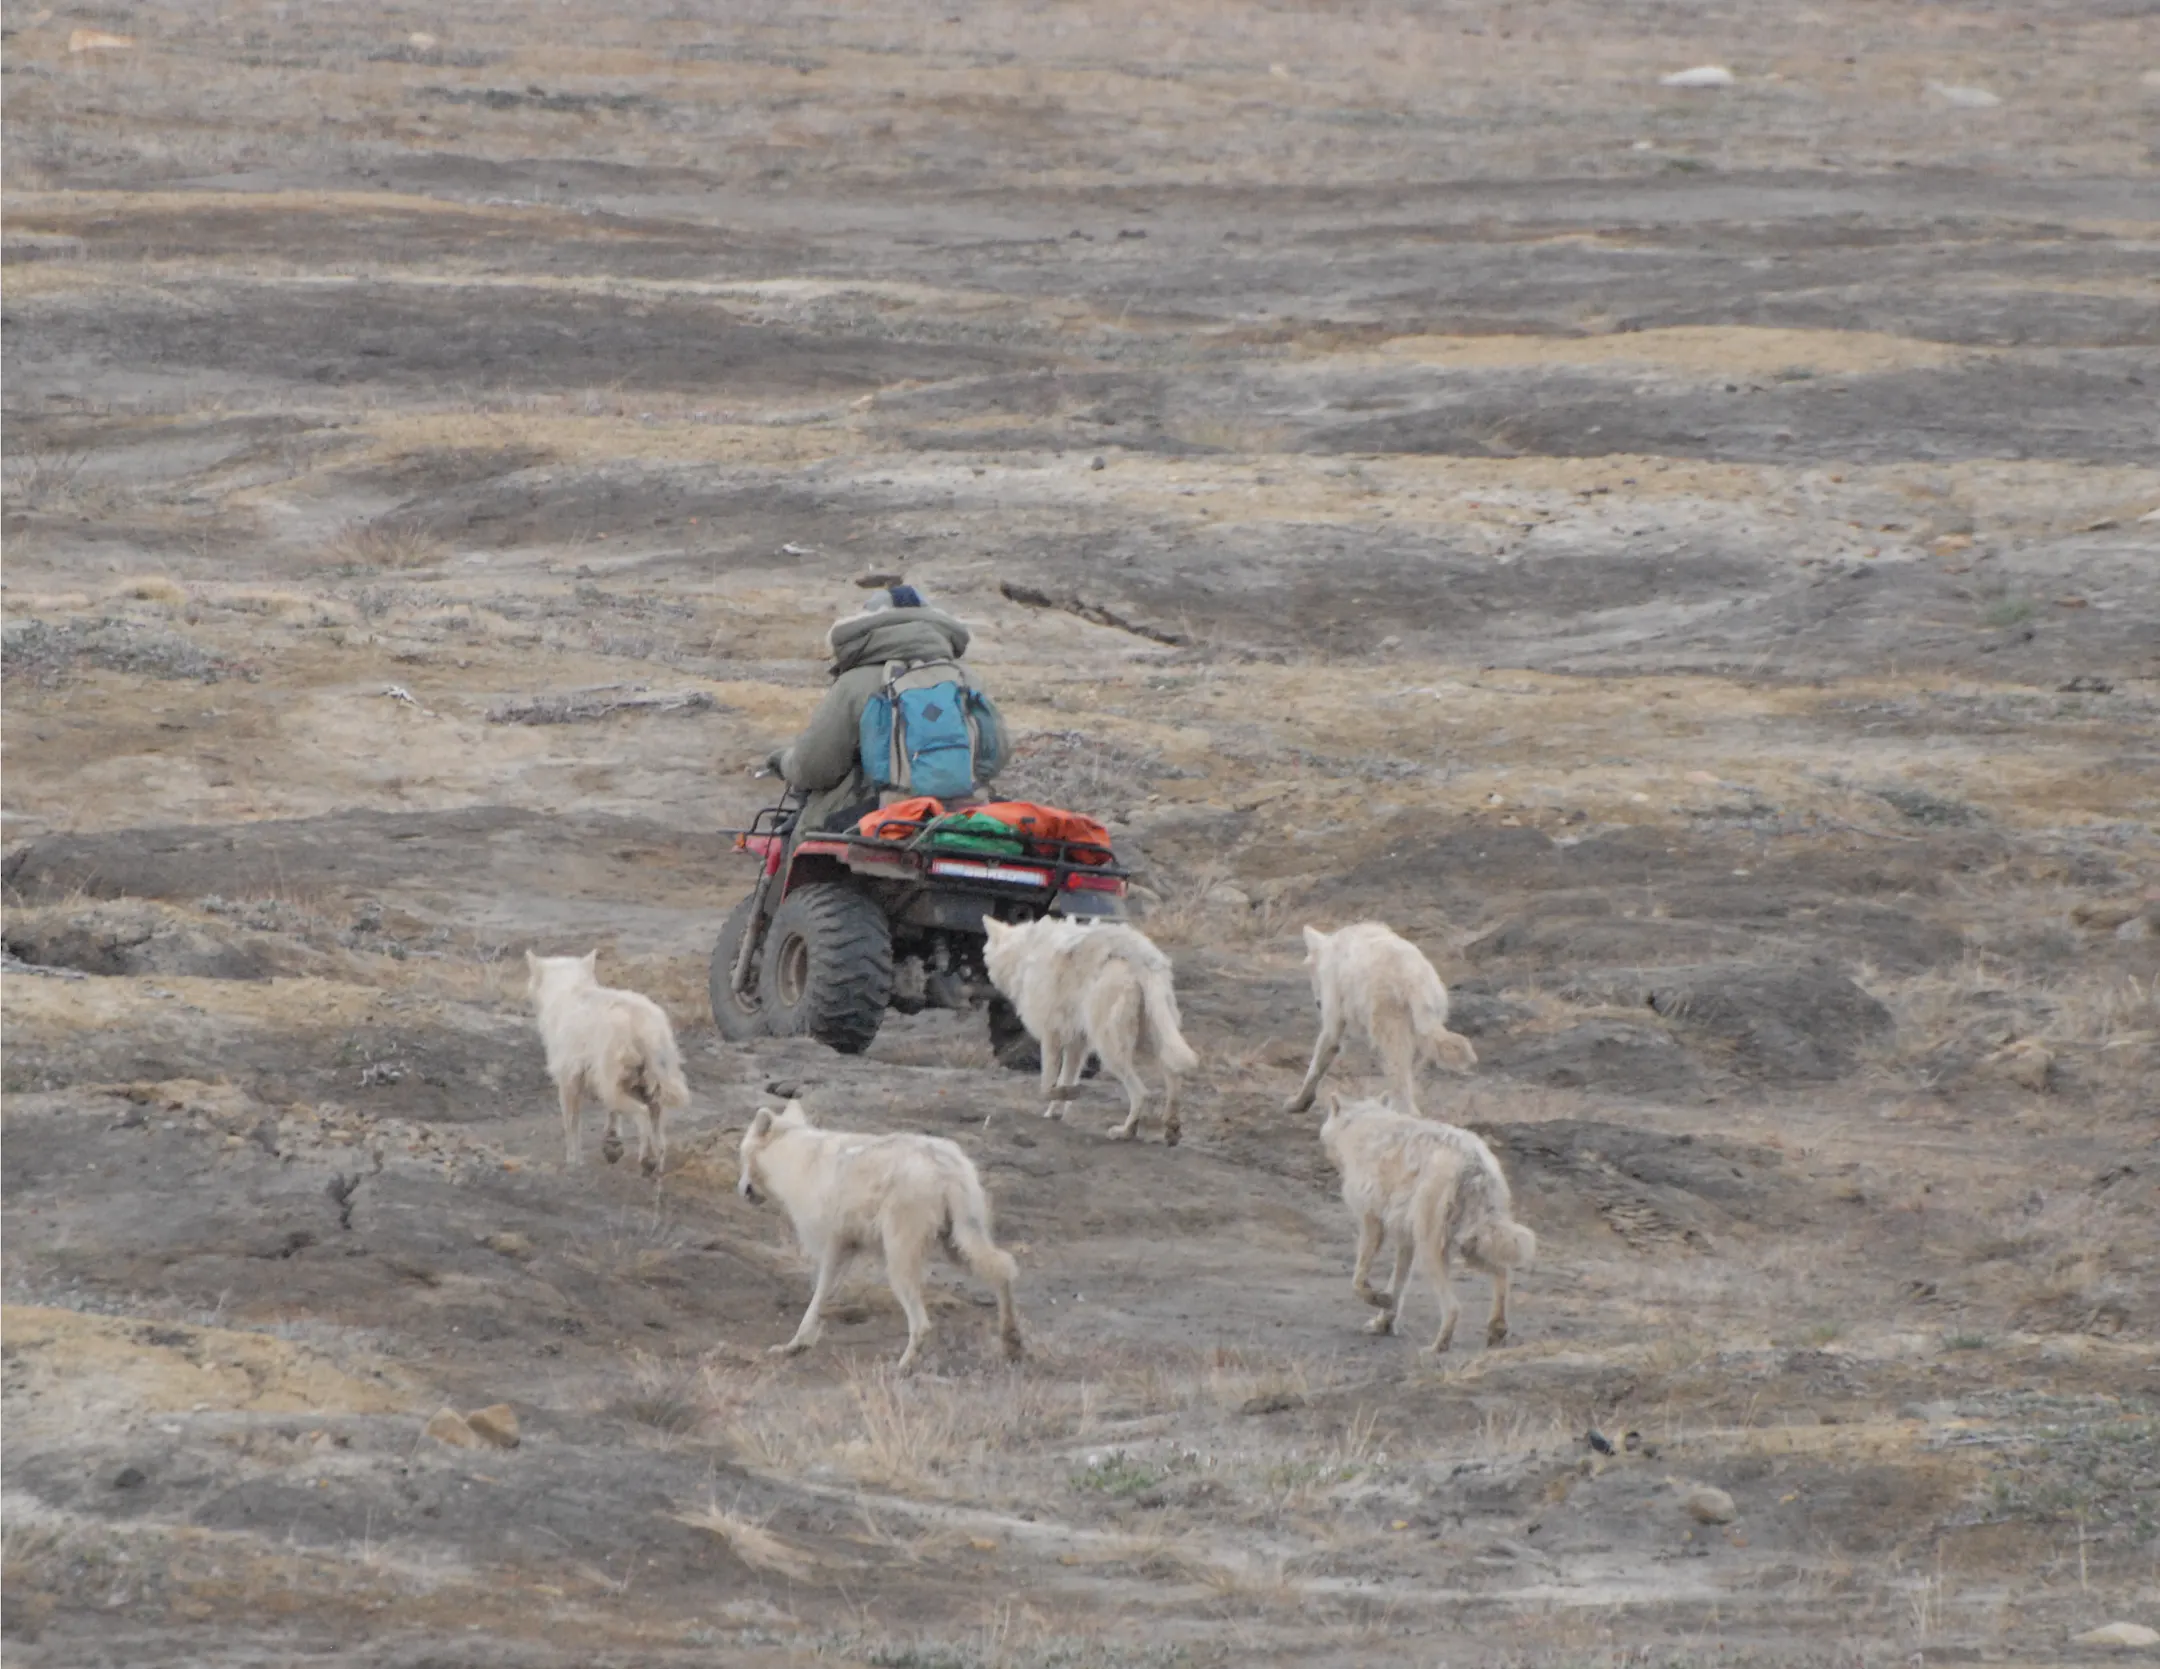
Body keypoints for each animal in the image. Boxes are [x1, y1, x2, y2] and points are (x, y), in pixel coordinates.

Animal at [525, 950, 690, 1175]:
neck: (571, 992)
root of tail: (640, 1024)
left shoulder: (568, 1081)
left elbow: (571, 1123)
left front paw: (573, 1162)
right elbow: (611, 1114)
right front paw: (612, 1146)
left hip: (615, 1083)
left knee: (642, 1114)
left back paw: (647, 1160)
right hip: (650, 1081)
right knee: (658, 1126)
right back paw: (657, 1165)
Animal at [736, 1099, 1022, 1372]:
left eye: (741, 1155)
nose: (741, 1190)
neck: (793, 1157)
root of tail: (944, 1166)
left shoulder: (832, 1246)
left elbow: (817, 1296)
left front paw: (796, 1344)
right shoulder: (847, 1246)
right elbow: (824, 1296)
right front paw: (801, 1343)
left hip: (899, 1262)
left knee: (922, 1323)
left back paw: (902, 1366)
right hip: (959, 1245)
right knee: (1003, 1269)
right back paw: (1011, 1342)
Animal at [979, 915, 1198, 1145]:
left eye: (984, 951)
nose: (983, 976)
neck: (1023, 953)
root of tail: (1143, 956)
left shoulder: (1051, 1037)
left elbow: (1046, 1087)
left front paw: (1067, 1094)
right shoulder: (1076, 1043)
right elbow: (1066, 1077)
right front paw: (1056, 1111)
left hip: (1109, 1050)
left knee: (1142, 1093)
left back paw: (1125, 1131)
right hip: (1157, 1034)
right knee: (1173, 1077)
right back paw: (1171, 1128)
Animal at [1285, 921, 1476, 1117]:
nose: (1318, 1003)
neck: (1332, 947)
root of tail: (1415, 982)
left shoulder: (1334, 1001)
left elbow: (1323, 1052)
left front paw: (1296, 1102)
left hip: (1388, 1017)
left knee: (1398, 1071)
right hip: (1426, 1017)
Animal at [1320, 1093, 1536, 1352]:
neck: (1357, 1125)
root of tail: (1474, 1162)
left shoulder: (1371, 1221)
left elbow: (1358, 1281)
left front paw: (1378, 1299)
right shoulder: (1405, 1238)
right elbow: (1398, 1284)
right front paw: (1384, 1321)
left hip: (1431, 1250)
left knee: (1453, 1307)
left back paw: (1436, 1348)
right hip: (1469, 1245)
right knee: (1504, 1272)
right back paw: (1497, 1330)